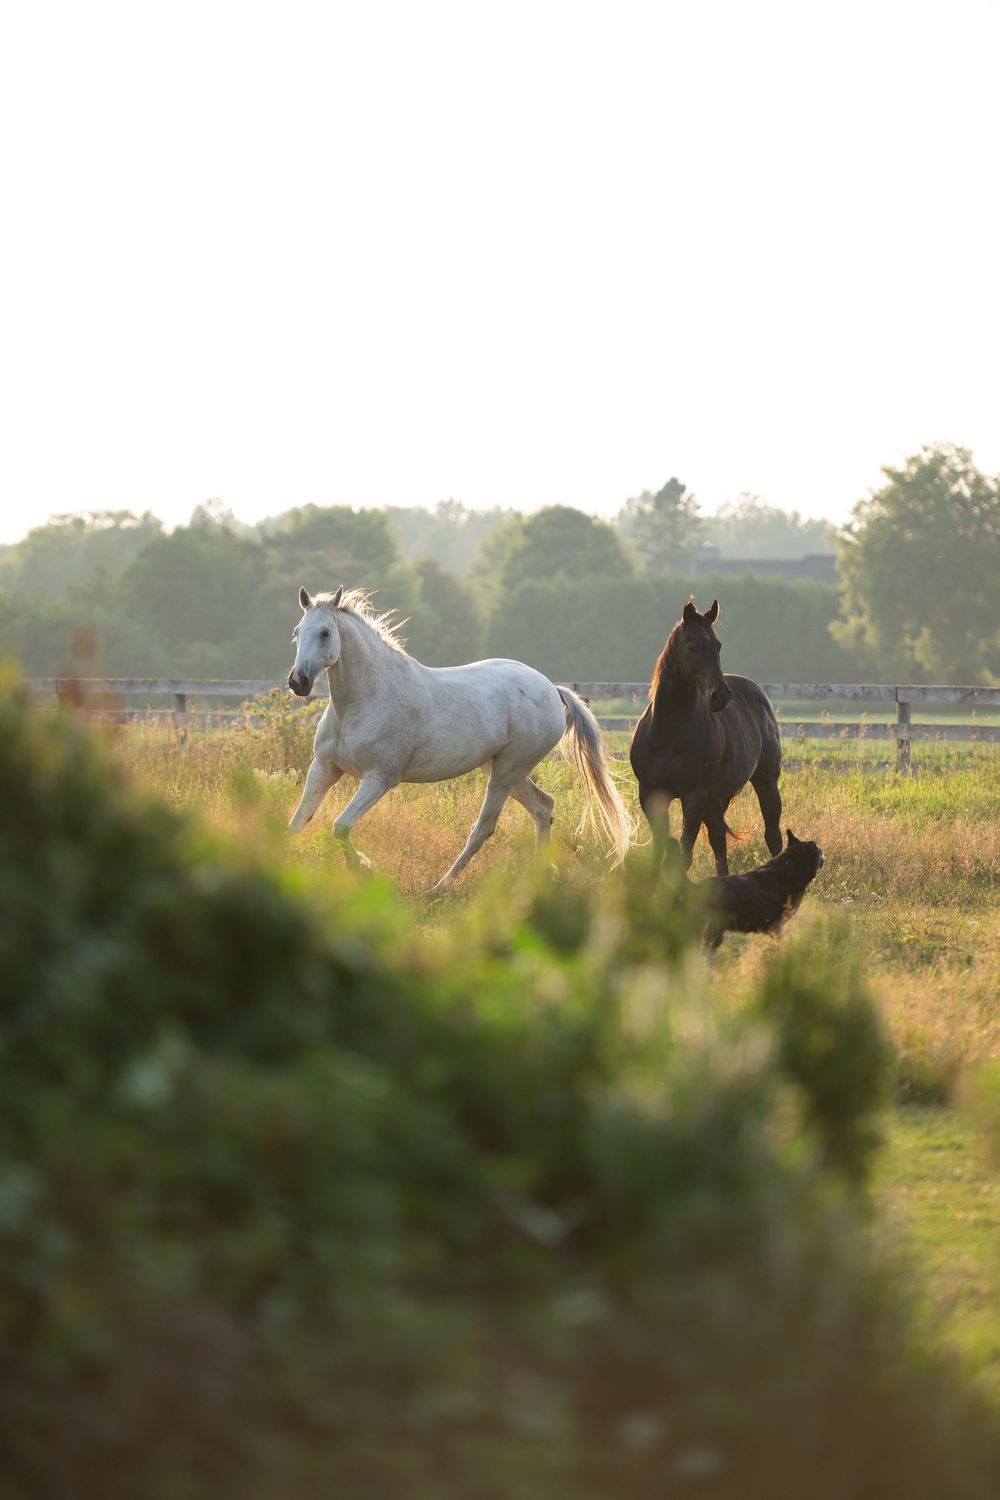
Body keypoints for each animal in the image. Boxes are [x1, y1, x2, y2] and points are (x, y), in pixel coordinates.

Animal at [286, 586, 634, 891]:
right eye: (297, 631)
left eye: (325, 633)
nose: (298, 682)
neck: (366, 698)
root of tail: (551, 688)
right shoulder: (324, 768)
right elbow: (297, 823)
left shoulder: (380, 779)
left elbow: (340, 827)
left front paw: (363, 868)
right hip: (500, 768)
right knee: (543, 807)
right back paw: (539, 880)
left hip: (507, 771)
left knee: (484, 828)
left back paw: (439, 888)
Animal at [628, 596, 782, 877]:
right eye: (692, 646)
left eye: (717, 645)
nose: (720, 696)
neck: (668, 733)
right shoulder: (651, 794)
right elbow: (659, 851)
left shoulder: (694, 796)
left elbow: (684, 854)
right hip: (715, 798)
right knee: (719, 840)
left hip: (766, 782)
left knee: (772, 836)